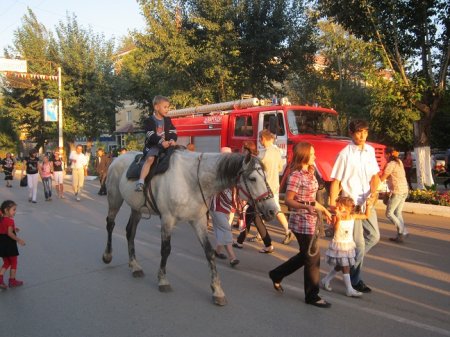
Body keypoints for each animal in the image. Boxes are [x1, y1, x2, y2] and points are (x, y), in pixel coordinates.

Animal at [102, 150, 278, 304]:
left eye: (265, 177)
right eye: (253, 178)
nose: (273, 210)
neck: (191, 180)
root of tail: (117, 158)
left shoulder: (198, 221)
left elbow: (209, 253)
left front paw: (217, 291)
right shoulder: (167, 219)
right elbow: (165, 250)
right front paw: (163, 280)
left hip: (137, 209)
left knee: (130, 232)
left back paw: (134, 266)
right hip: (115, 200)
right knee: (110, 224)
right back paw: (107, 255)